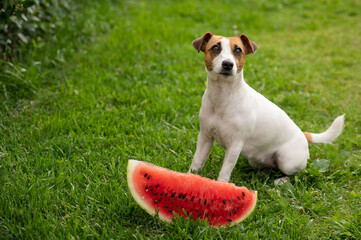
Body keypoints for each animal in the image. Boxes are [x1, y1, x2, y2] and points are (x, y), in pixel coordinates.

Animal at [188, 31, 344, 182]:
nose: (228, 64)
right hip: (255, 160)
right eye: (215, 48)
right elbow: (196, 161)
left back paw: (281, 180)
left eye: (238, 50)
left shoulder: (235, 146)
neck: (222, 97)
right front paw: (189, 178)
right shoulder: (205, 138)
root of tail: (303, 135)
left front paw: (221, 185)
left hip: (287, 160)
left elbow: (225, 171)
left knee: (297, 173)